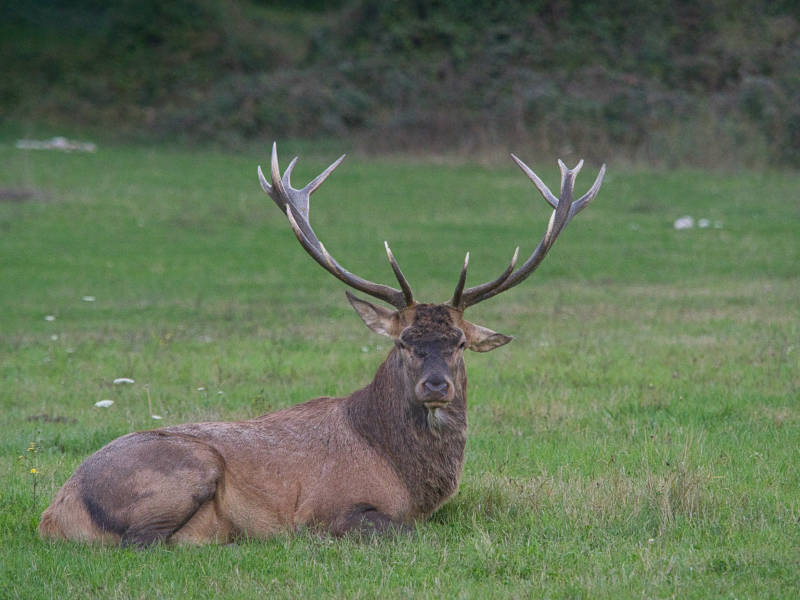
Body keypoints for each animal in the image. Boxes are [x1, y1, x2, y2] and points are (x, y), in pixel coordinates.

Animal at [36, 143, 600, 548]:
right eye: (405, 342)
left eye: (459, 342)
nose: (436, 386)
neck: (405, 476)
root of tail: (55, 510)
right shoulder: (330, 509)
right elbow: (406, 531)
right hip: (189, 467)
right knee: (142, 541)